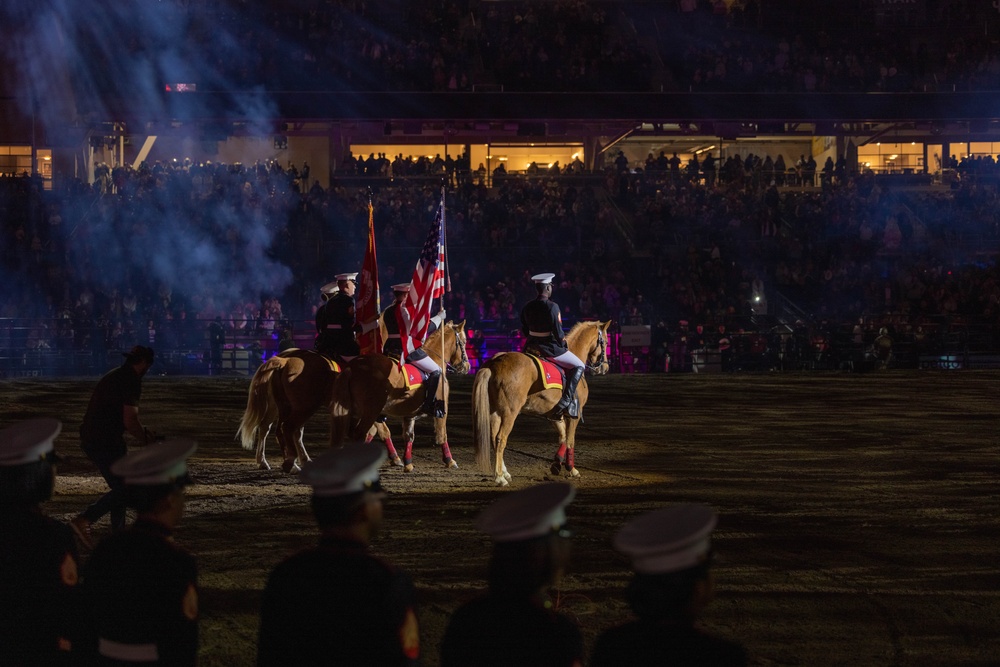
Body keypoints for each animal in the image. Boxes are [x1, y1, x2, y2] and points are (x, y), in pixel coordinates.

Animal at [236, 350, 392, 474]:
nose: (384, 417)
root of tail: (285, 361)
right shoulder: (369, 411)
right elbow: (379, 431)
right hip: (302, 408)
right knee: (287, 429)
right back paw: (292, 463)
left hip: (283, 407)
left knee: (273, 429)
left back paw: (274, 461)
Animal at [328, 320, 468, 472]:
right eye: (464, 342)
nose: (467, 367)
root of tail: (352, 366)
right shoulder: (442, 408)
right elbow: (442, 434)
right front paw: (450, 460)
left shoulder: (409, 414)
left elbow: (408, 436)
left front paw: (408, 463)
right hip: (371, 411)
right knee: (360, 434)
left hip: (357, 411)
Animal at [472, 322, 612, 486]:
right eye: (606, 342)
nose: (605, 367)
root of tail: (493, 364)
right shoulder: (574, 415)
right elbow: (570, 440)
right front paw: (571, 469)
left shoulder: (554, 414)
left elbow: (563, 437)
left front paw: (557, 464)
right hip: (509, 412)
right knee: (501, 439)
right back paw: (500, 477)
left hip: (495, 412)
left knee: (494, 438)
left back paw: (504, 473)